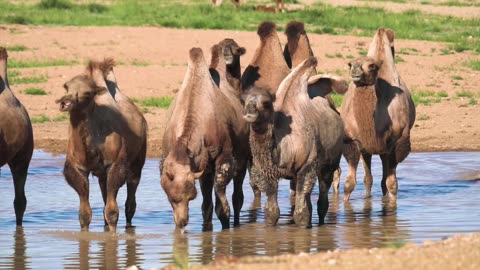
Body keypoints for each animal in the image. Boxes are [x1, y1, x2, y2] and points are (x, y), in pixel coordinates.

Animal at [57, 61, 146, 232]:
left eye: (88, 93)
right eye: (67, 87)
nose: (66, 102)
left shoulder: (115, 164)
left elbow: (112, 211)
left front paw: (112, 234)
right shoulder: (79, 168)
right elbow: (84, 213)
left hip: (137, 163)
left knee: (130, 201)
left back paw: (129, 227)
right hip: (102, 174)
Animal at [161, 46, 249, 230]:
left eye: (190, 197)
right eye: (171, 198)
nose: (182, 222)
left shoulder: (224, 154)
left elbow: (222, 205)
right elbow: (206, 205)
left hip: (243, 156)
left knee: (238, 193)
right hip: (205, 168)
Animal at [244, 56, 344, 227]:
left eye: (266, 103)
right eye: (245, 100)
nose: (250, 111)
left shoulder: (308, 162)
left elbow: (301, 213)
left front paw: (303, 226)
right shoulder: (266, 172)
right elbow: (272, 212)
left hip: (330, 162)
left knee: (323, 193)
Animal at [338, 28, 416, 201]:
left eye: (371, 65)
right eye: (350, 63)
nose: (354, 69)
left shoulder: (398, 140)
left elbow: (392, 184)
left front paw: (391, 205)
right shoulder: (352, 140)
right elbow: (349, 184)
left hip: (385, 148)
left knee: (384, 179)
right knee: (369, 178)